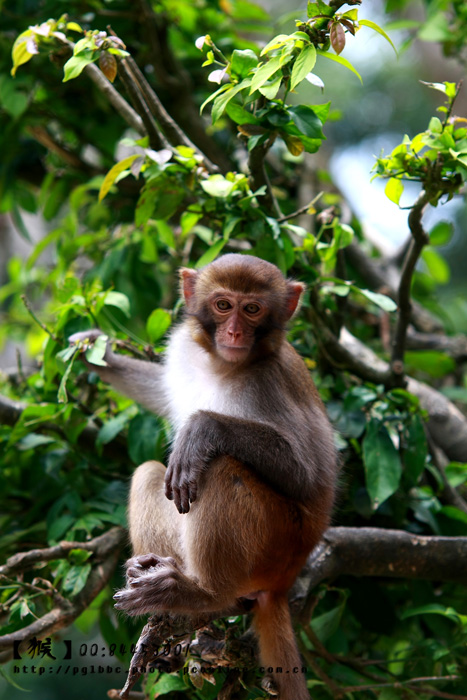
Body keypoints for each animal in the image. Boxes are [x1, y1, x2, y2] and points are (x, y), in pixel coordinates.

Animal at [70, 253, 336, 700]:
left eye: (253, 309)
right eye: (223, 305)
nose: (234, 331)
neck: (223, 364)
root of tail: (285, 581)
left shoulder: (270, 380)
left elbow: (309, 474)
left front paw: (203, 428)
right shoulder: (183, 352)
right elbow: (157, 393)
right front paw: (94, 352)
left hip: (277, 541)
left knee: (222, 468)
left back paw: (202, 594)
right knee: (150, 473)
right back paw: (163, 584)